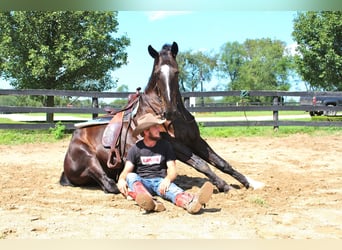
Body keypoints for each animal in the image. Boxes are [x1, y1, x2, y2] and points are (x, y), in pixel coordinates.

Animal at [60, 41, 264, 193]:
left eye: (177, 72)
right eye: (158, 73)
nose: (170, 112)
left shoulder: (196, 140)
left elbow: (222, 163)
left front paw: (251, 183)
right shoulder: (175, 146)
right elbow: (202, 165)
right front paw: (225, 186)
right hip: (88, 159)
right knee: (110, 185)